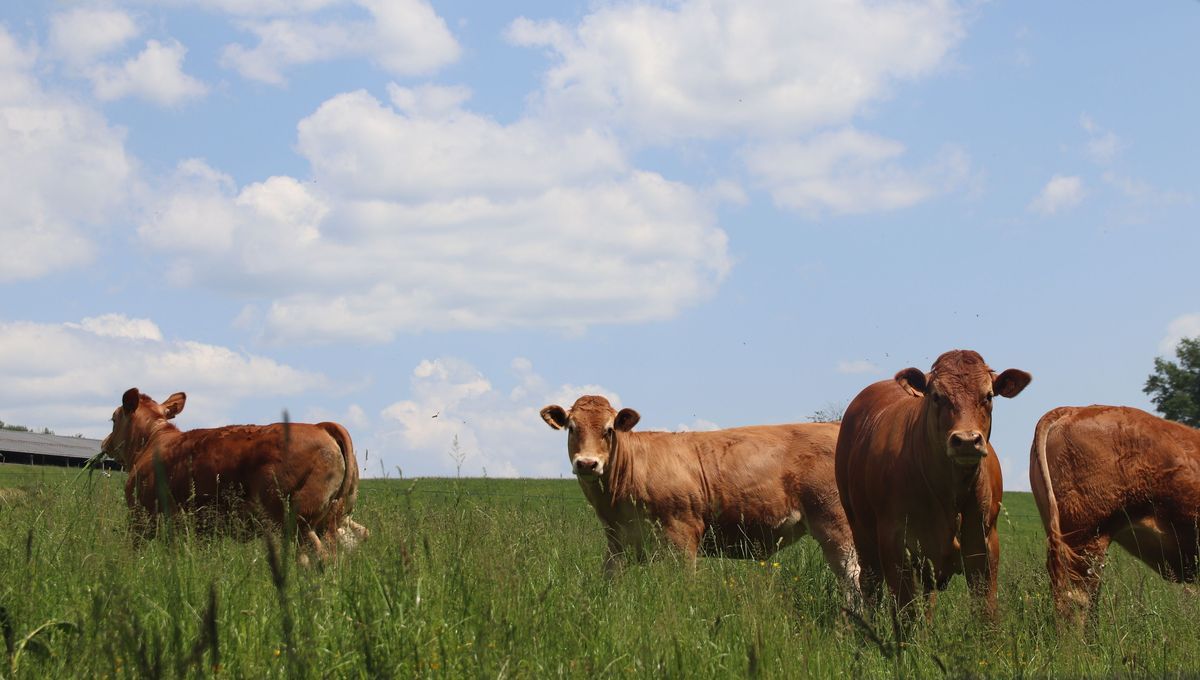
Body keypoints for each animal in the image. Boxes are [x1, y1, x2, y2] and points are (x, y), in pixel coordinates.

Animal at [100, 388, 364, 558]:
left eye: (113, 418)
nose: (105, 443)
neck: (153, 441)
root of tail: (321, 427)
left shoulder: (142, 518)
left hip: (298, 519)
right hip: (331, 520)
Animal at [540, 395, 859, 592]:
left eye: (608, 430)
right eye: (571, 428)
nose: (587, 463)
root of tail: (835, 425)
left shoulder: (683, 536)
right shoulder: (618, 542)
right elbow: (608, 583)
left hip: (836, 526)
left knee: (851, 576)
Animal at [835, 350, 1032, 623]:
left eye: (989, 395)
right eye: (937, 396)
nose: (967, 441)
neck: (951, 493)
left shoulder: (984, 545)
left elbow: (985, 611)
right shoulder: (896, 543)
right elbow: (905, 612)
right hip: (862, 534)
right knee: (870, 587)